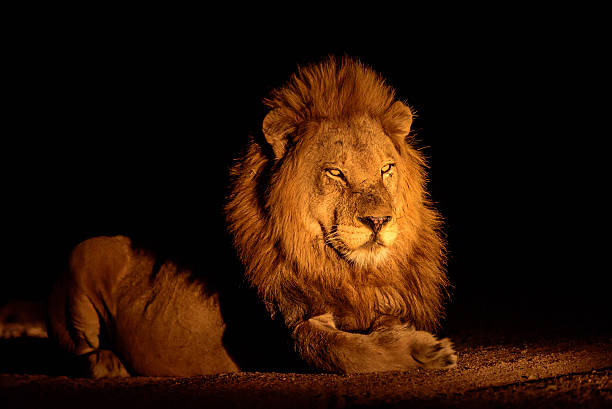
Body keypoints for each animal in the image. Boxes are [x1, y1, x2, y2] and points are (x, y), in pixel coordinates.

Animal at [46, 57, 454, 376]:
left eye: (386, 169)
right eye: (335, 173)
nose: (379, 221)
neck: (338, 266)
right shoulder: (272, 333)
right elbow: (340, 352)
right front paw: (426, 351)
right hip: (88, 254)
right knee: (77, 351)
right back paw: (107, 363)